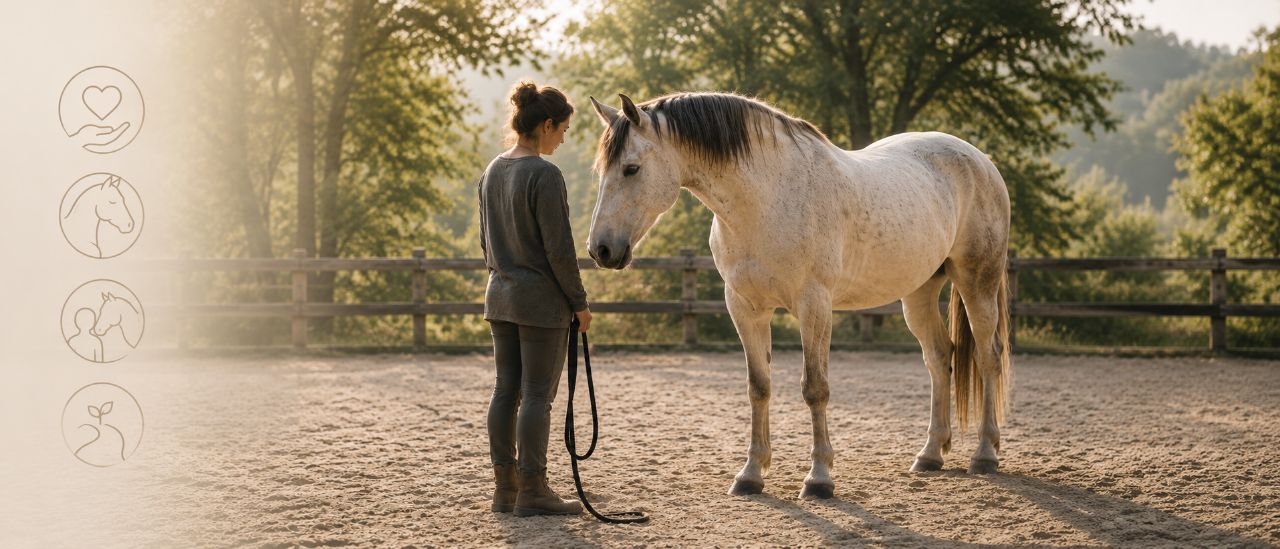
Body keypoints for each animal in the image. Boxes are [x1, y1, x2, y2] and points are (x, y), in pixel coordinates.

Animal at [585, 92, 1012, 499]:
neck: (766, 199)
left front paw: (819, 479)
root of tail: (981, 160)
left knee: (988, 357)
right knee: (940, 358)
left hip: (977, 282)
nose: (600, 250)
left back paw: (984, 455)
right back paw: (930, 454)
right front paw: (751, 475)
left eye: (631, 168)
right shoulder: (745, 308)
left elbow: (814, 388)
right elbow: (758, 387)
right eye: (601, 171)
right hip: (919, 292)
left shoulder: (814, 305)